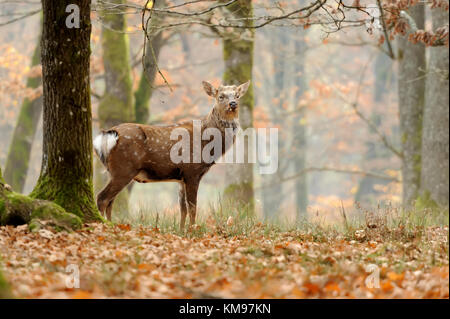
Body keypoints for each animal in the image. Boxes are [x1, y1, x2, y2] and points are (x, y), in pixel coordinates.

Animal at [93, 80, 251, 230]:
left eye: (237, 95)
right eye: (220, 96)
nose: (233, 104)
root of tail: (107, 135)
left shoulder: (181, 178)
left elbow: (183, 209)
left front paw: (181, 230)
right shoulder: (192, 171)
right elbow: (193, 207)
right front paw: (193, 230)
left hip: (114, 171)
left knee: (110, 201)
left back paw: (111, 225)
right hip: (124, 169)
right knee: (102, 198)